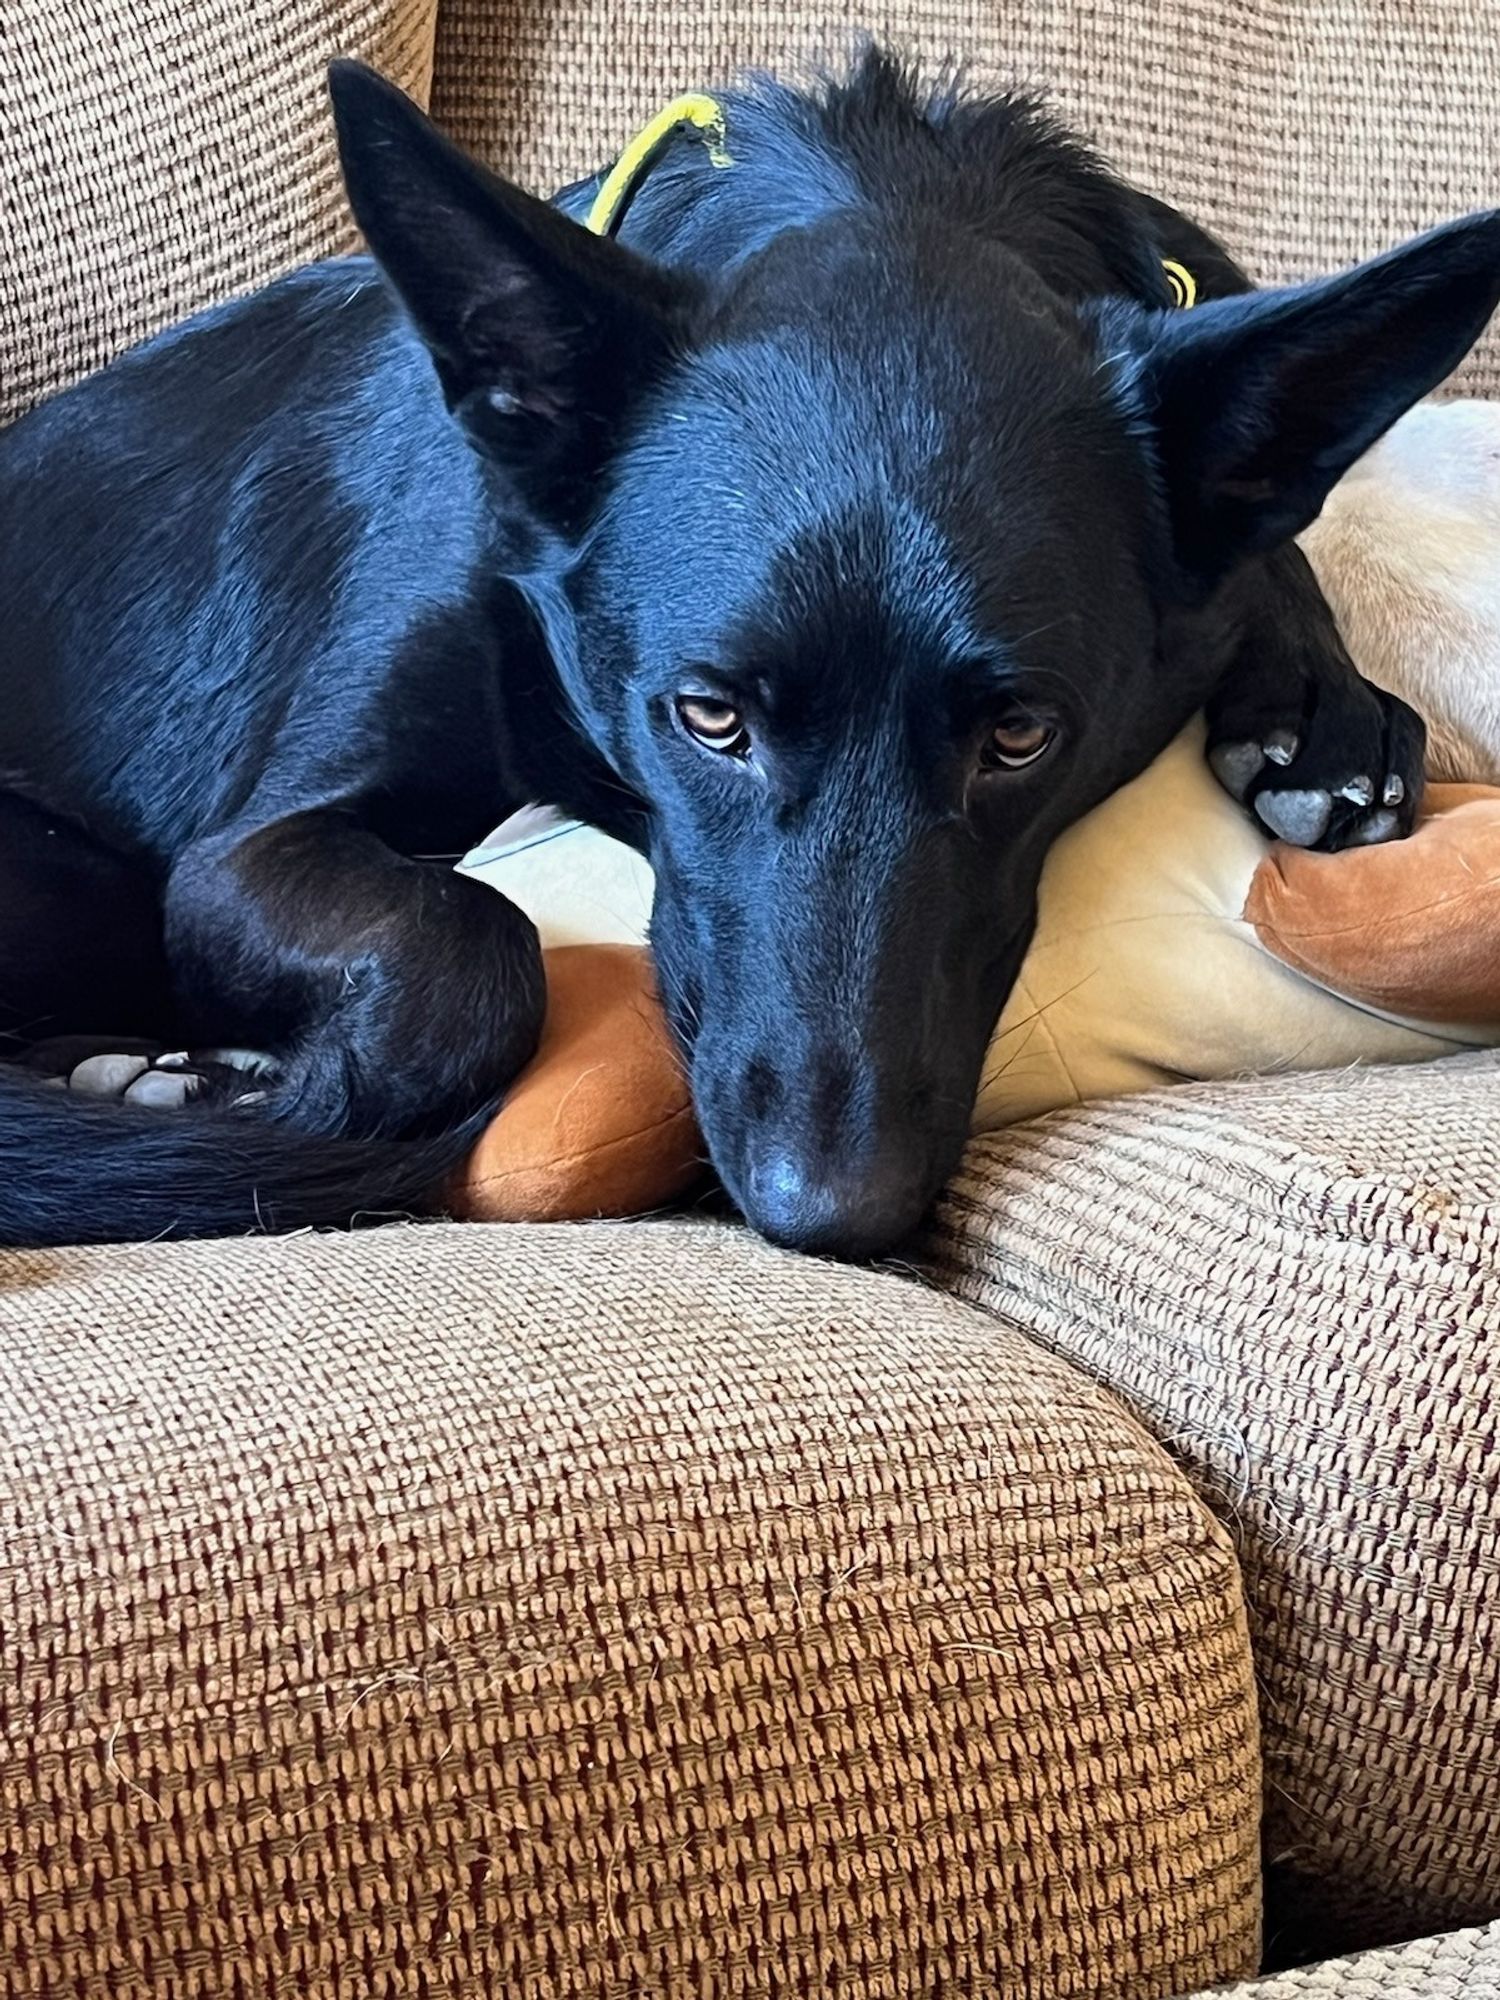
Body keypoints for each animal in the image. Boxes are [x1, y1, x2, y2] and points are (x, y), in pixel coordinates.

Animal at [2, 50, 1500, 1248]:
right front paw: (259, 1094)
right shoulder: (237, 857)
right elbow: (461, 947)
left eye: (1021, 736)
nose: (831, 1216)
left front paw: (1325, 704)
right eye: (708, 716)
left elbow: (1267, 554)